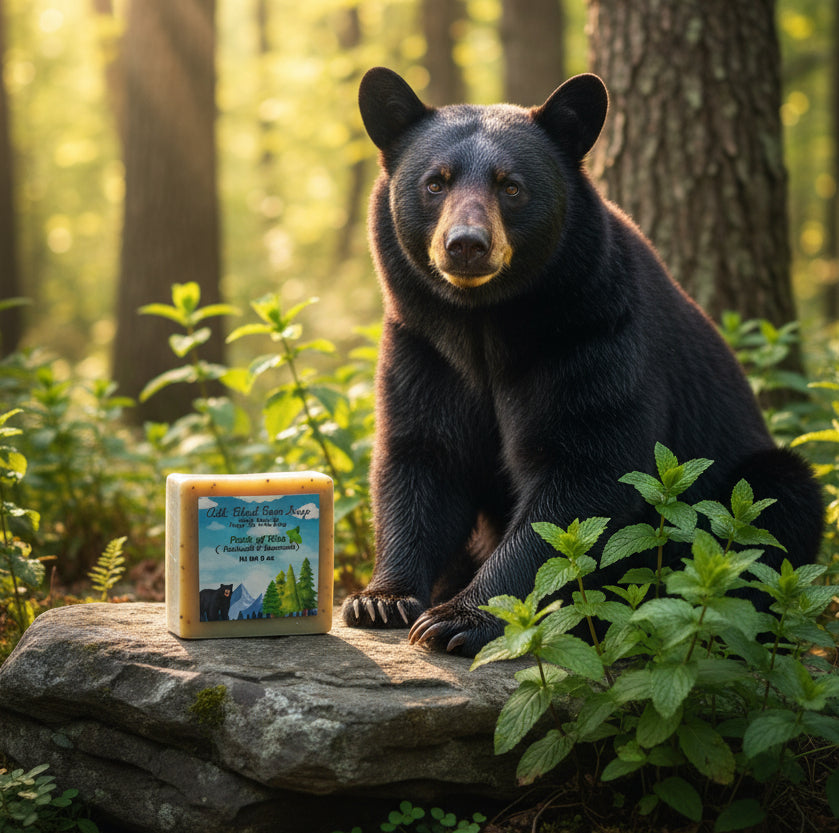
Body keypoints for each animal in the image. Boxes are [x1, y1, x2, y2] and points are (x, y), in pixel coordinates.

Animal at [341, 67, 824, 657]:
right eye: (436, 182)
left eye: (511, 186)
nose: (466, 245)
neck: (483, 325)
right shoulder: (423, 345)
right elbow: (423, 456)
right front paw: (379, 600)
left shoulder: (592, 333)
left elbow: (582, 472)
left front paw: (456, 618)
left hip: (749, 488)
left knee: (775, 507)